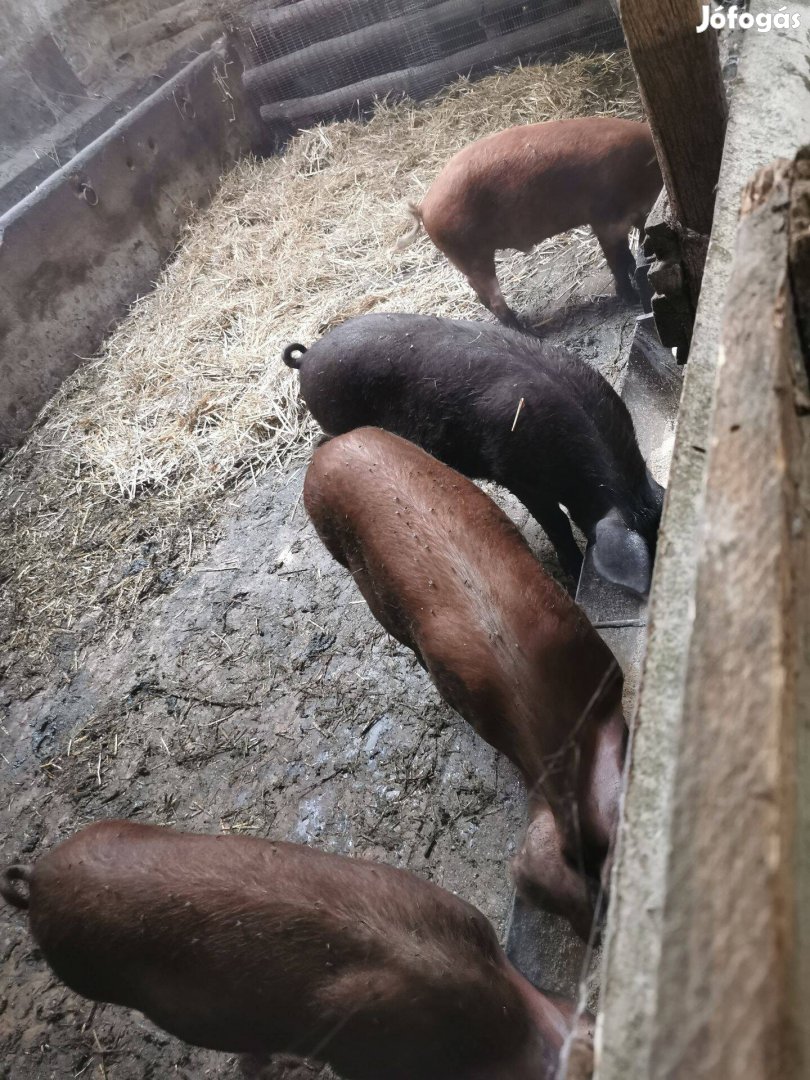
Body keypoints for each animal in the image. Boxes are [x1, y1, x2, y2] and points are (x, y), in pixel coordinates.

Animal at [397, 115, 660, 324]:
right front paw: (632, 299)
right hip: (469, 254)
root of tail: (424, 207)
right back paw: (525, 328)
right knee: (487, 295)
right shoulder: (606, 220)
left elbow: (628, 256)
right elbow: (618, 261)